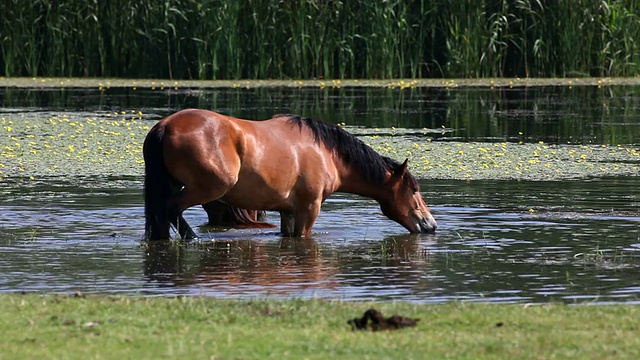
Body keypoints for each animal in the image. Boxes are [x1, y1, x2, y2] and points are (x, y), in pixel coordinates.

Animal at [142, 108, 438, 240]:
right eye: (414, 190)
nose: (431, 225)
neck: (327, 153)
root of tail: (166, 126)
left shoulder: (289, 211)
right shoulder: (309, 209)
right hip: (206, 190)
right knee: (171, 211)